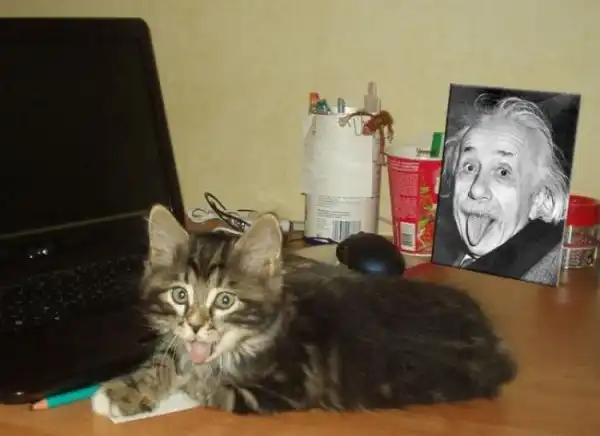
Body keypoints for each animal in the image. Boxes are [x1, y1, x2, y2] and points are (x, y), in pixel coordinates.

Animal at [100, 204, 517, 416]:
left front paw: (189, 379)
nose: (197, 327)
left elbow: (209, 386)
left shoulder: (286, 388)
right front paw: (126, 389)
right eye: (180, 295)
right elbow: (172, 356)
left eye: (225, 300)